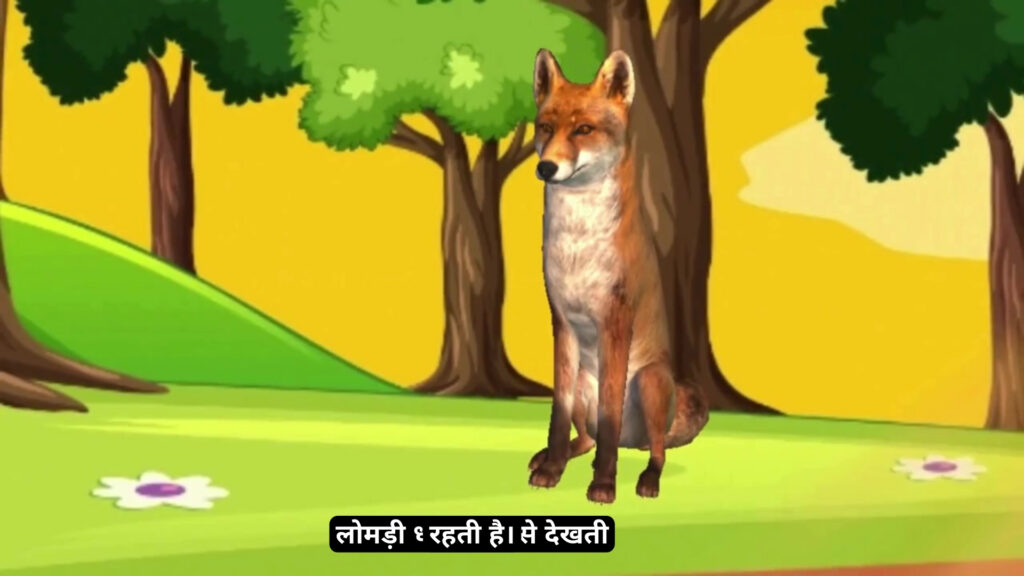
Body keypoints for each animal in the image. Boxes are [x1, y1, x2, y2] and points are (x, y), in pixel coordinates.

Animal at [527, 49, 709, 504]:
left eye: (584, 130)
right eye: (546, 127)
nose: (546, 167)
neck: (577, 243)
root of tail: (635, 442)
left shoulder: (615, 321)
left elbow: (610, 417)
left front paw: (604, 485)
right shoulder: (562, 323)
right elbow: (557, 417)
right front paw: (552, 470)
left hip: (649, 382)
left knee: (655, 449)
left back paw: (646, 479)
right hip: (582, 386)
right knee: (587, 437)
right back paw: (552, 457)